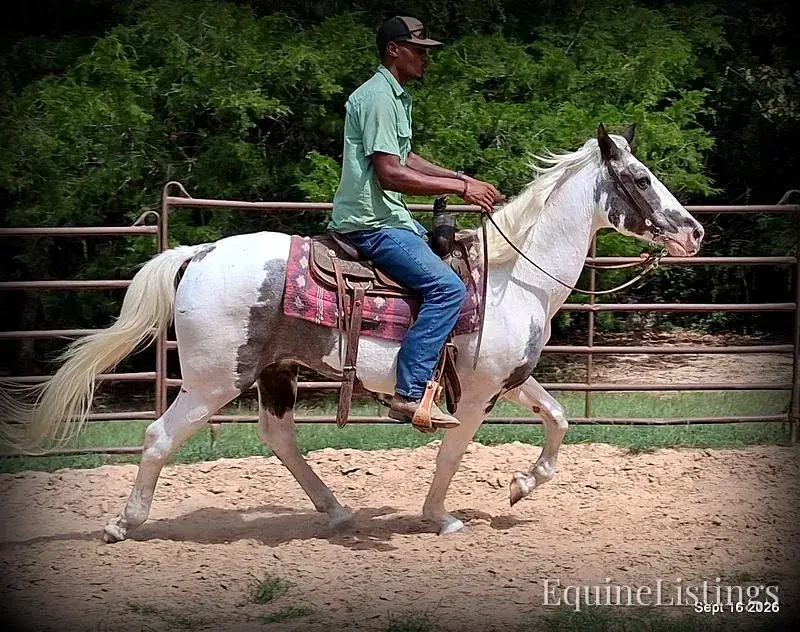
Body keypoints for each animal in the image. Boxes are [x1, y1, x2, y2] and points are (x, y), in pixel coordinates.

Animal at [1, 124, 704, 541]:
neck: (513, 277)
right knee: (158, 436)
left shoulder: (511, 379)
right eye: (640, 179)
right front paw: (441, 517)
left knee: (278, 438)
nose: (694, 230)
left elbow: (559, 419)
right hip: (213, 380)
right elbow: (451, 452)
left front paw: (520, 485)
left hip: (273, 374)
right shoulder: (476, 395)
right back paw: (124, 524)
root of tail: (199, 253)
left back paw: (336, 510)